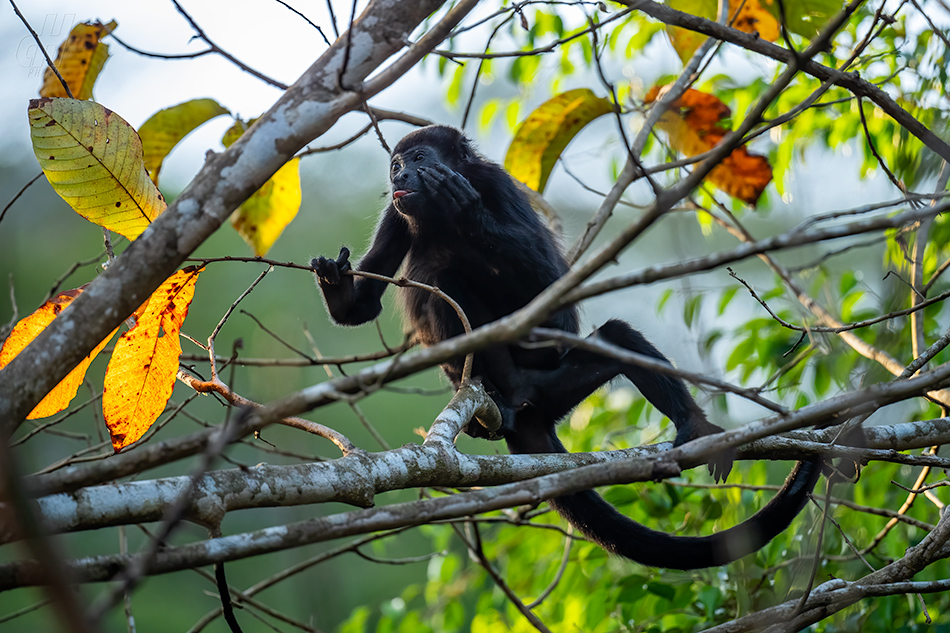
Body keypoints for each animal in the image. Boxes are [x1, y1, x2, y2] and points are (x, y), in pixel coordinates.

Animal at [316, 124, 820, 568]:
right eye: (396, 165)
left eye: (418, 159)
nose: (398, 177)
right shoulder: (394, 214)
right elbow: (363, 305)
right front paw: (335, 284)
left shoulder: (498, 186)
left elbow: (549, 287)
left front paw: (467, 209)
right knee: (445, 282)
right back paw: (489, 393)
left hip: (554, 387)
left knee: (614, 335)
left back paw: (692, 424)